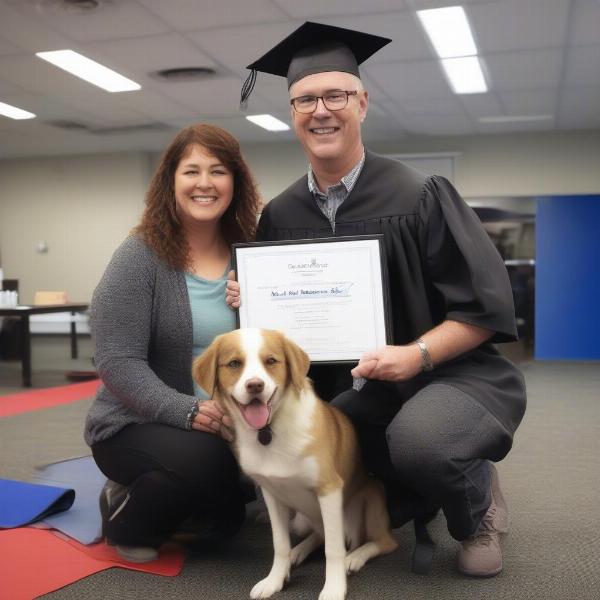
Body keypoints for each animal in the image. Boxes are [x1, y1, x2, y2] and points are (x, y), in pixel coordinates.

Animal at [193, 328, 398, 600]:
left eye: (271, 361)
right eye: (234, 364)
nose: (255, 385)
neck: (270, 430)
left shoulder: (329, 490)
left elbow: (333, 549)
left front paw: (334, 587)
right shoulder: (271, 494)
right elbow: (280, 545)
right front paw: (275, 579)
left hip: (371, 498)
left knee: (380, 542)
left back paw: (354, 558)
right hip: (301, 520)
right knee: (317, 535)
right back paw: (298, 552)